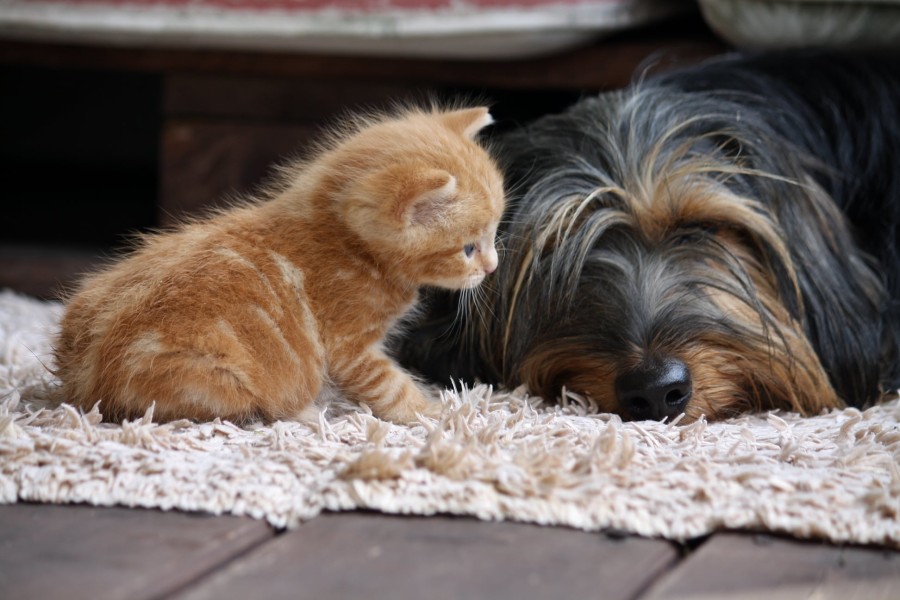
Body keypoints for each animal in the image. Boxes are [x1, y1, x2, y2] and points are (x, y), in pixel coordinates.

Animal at [54, 105, 506, 424]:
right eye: (468, 248)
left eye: (494, 234)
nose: (492, 267)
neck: (348, 244)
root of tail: (83, 384)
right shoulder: (349, 345)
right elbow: (389, 384)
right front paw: (432, 411)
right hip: (211, 378)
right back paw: (303, 411)